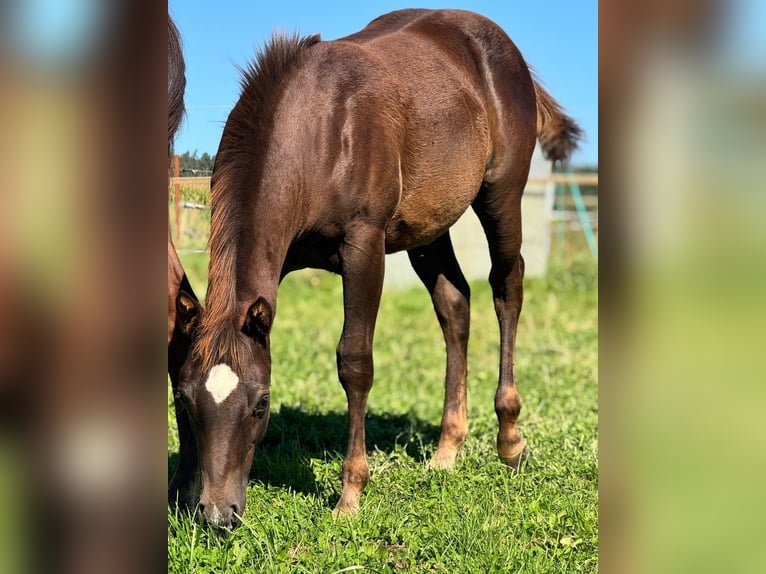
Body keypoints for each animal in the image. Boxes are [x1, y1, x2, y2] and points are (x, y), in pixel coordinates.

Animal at [174, 9, 581, 527]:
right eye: (185, 400)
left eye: (262, 402)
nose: (218, 514)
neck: (318, 129)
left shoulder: (364, 244)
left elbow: (354, 361)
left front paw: (350, 494)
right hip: (427, 231)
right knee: (455, 304)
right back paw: (447, 449)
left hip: (502, 196)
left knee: (506, 287)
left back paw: (509, 441)